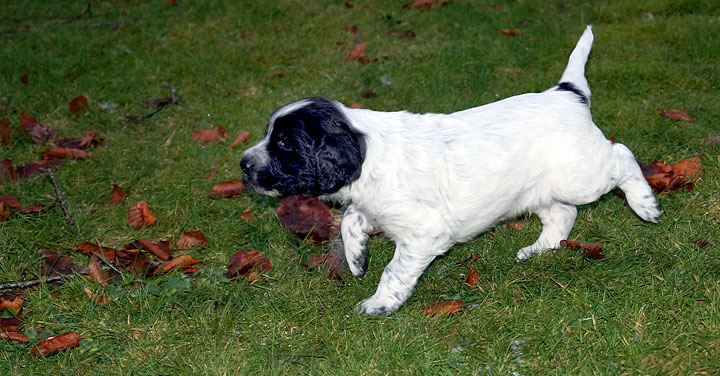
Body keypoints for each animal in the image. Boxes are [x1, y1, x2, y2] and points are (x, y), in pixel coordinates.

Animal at [239, 25, 660, 316]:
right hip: (535, 189)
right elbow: (350, 220)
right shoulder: (368, 203)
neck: (367, 147)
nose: (243, 165)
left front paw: (379, 303)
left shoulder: (423, 233)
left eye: (285, 144)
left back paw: (646, 205)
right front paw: (357, 259)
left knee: (620, 156)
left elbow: (394, 269)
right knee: (562, 215)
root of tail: (566, 93)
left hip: (581, 174)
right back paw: (537, 249)